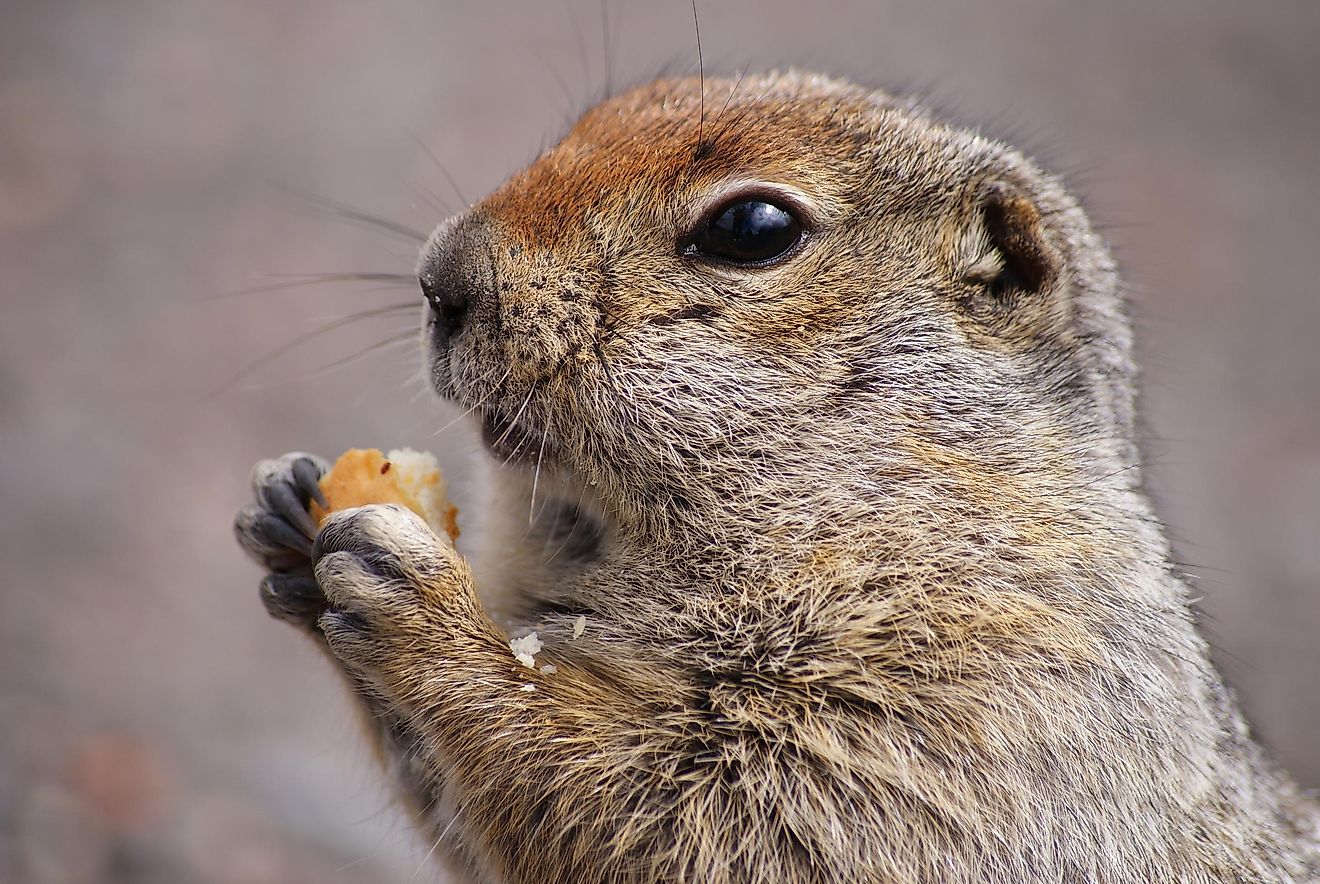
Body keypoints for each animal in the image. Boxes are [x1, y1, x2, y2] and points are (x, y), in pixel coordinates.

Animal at [237, 72, 1320, 881]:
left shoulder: (991, 684)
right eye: (607, 112)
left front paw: (418, 601)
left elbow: (726, 817)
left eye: (752, 227)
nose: (439, 278)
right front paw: (289, 505)